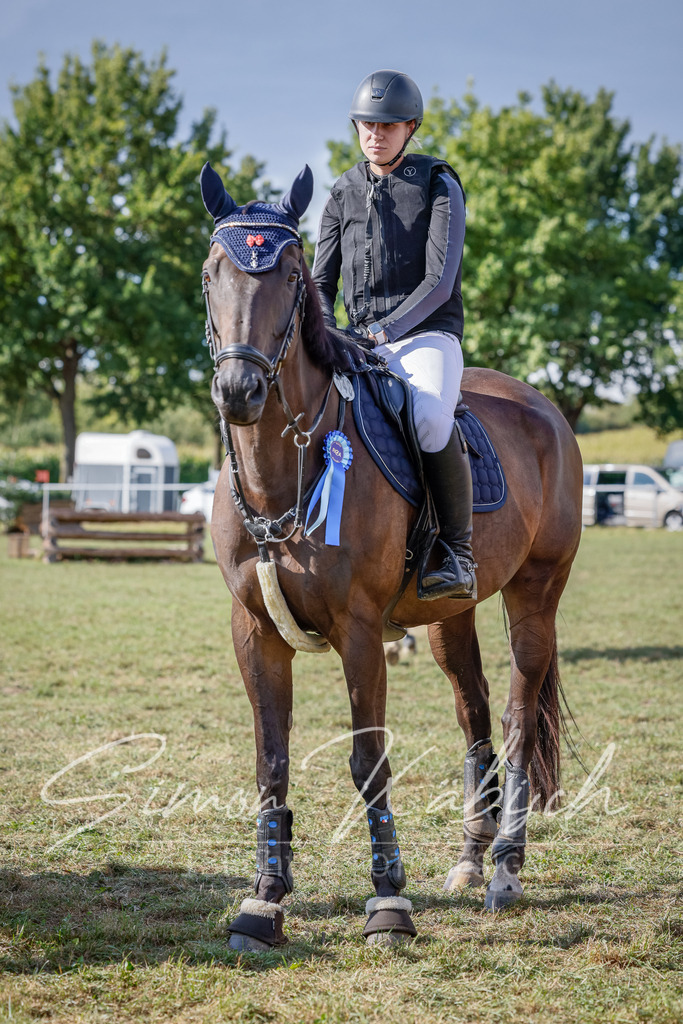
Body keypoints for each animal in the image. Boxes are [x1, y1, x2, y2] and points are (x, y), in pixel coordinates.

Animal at [199, 162, 583, 949]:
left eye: (289, 276)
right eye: (212, 270)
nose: (239, 390)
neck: (285, 472)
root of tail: (545, 411)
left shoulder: (358, 630)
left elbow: (367, 759)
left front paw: (388, 902)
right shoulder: (253, 629)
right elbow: (271, 757)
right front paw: (265, 900)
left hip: (536, 592)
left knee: (517, 716)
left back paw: (505, 869)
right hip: (449, 615)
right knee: (473, 714)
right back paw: (470, 858)